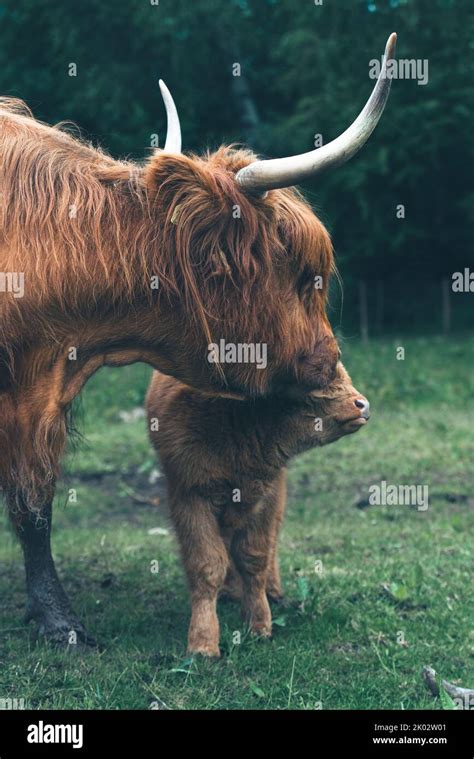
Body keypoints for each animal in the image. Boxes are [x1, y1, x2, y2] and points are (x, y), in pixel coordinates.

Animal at [146, 360, 368, 652]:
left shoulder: (266, 497)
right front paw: (203, 643)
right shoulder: (190, 497)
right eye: (319, 382)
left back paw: (271, 591)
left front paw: (259, 625)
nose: (362, 404)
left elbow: (254, 556)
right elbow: (206, 564)